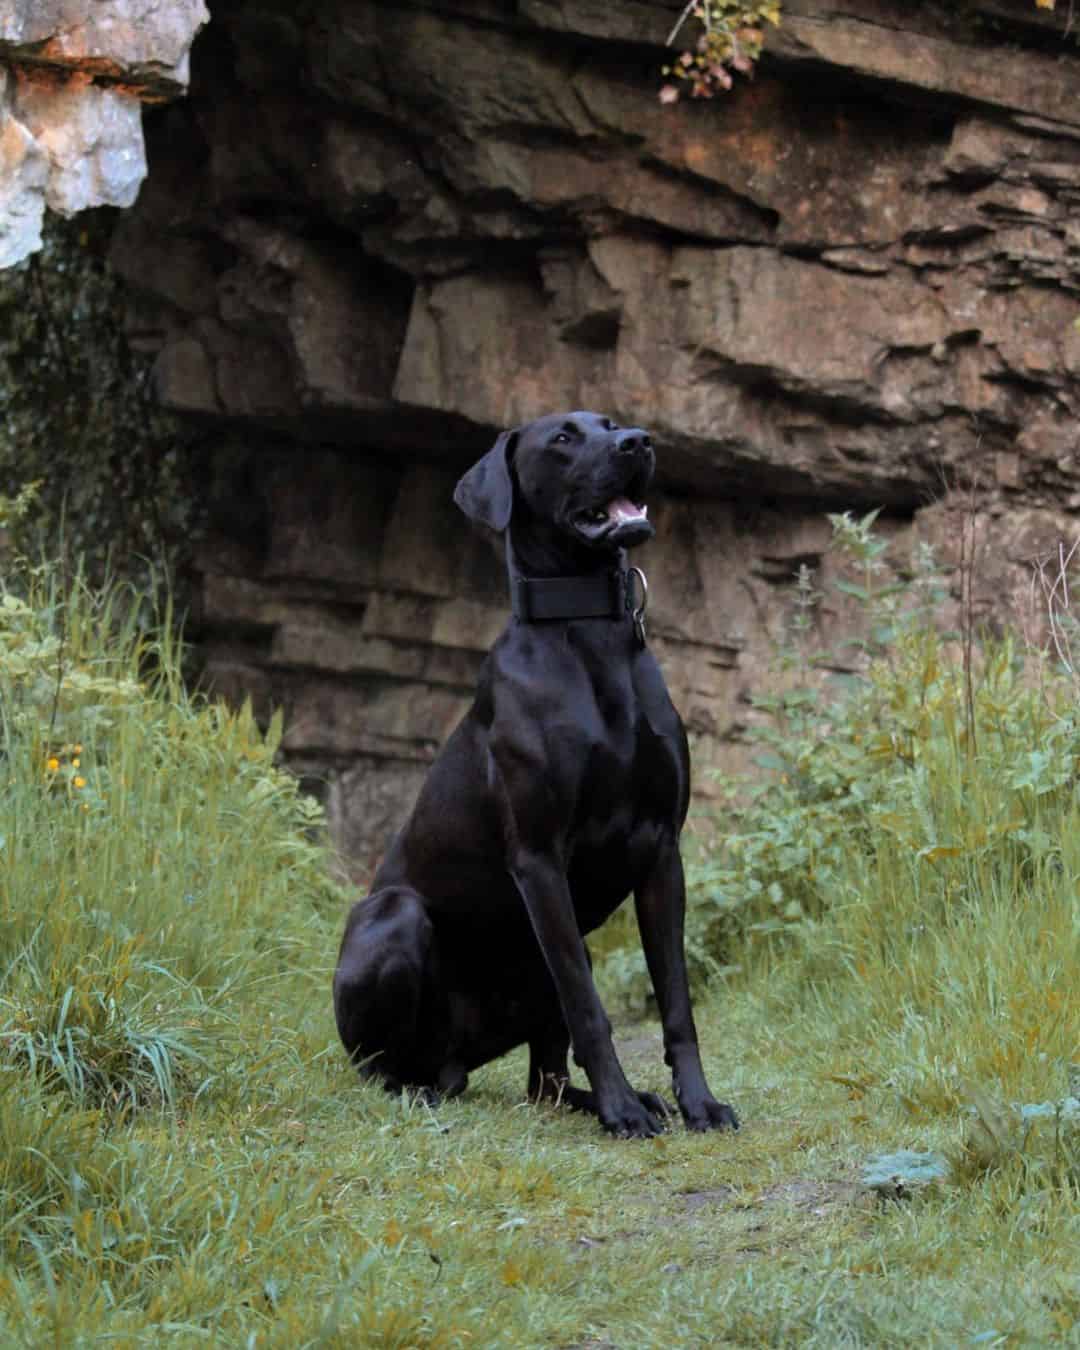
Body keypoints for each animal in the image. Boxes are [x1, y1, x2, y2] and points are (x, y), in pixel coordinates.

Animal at [333, 410, 739, 1139]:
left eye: (610, 423)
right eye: (563, 439)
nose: (639, 442)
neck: (588, 627)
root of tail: (453, 1063)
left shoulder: (662, 851)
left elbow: (676, 999)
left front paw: (698, 1102)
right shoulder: (540, 859)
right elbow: (590, 1004)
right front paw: (621, 1112)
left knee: (542, 1082)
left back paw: (625, 1100)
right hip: (394, 915)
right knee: (382, 1067)